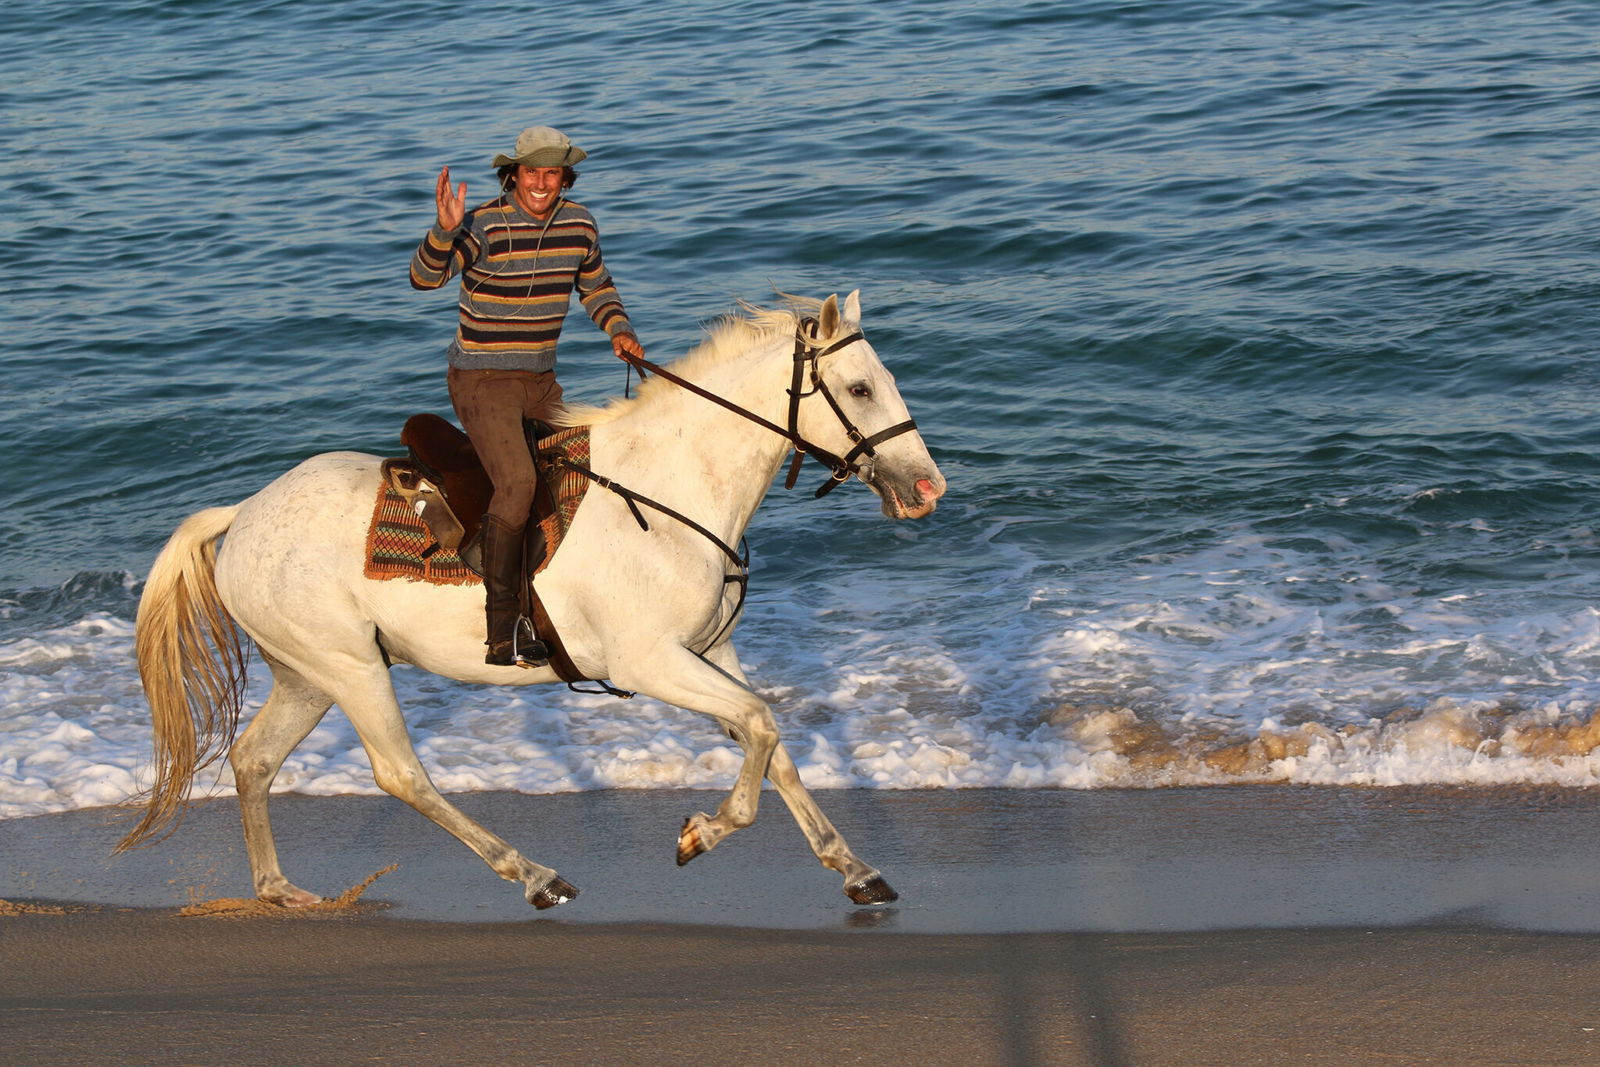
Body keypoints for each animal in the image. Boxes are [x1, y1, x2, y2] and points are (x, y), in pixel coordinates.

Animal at [118, 291, 946, 909]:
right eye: (862, 387)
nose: (927, 486)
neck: (670, 489)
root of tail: (242, 514)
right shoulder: (650, 664)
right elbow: (761, 730)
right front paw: (700, 833)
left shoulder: (711, 652)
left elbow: (770, 745)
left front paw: (855, 869)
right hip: (350, 670)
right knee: (400, 774)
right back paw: (535, 874)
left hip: (307, 676)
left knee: (254, 758)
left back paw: (279, 888)